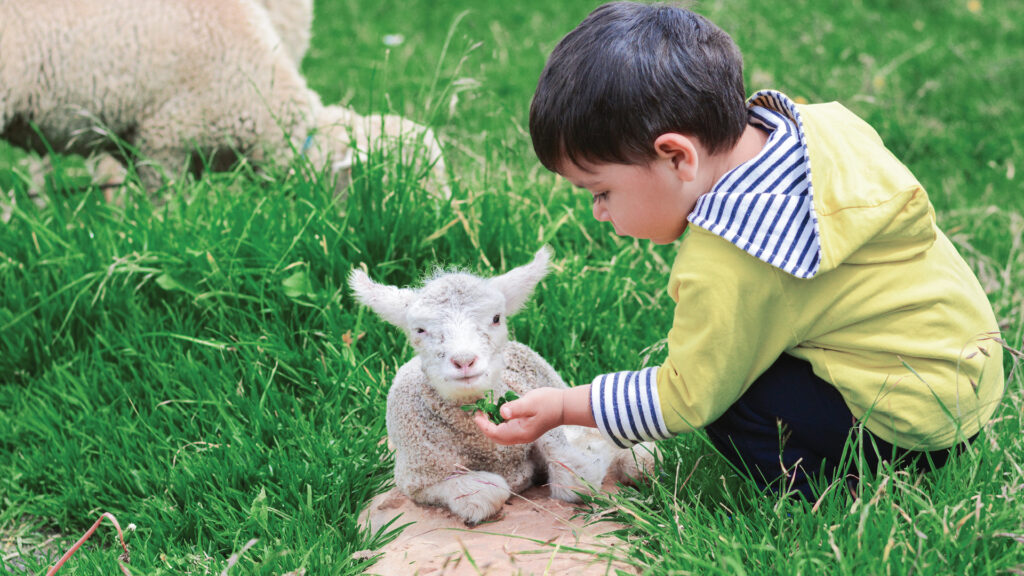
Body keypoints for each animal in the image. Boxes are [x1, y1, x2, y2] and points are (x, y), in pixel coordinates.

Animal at [349, 247, 653, 525]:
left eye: (496, 318)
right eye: (420, 330)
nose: (464, 360)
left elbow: (576, 475)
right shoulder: (416, 477)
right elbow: (487, 492)